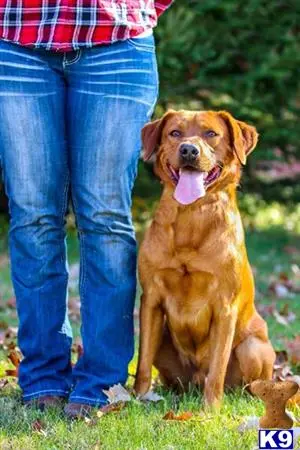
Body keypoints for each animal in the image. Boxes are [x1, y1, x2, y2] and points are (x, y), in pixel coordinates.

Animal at [135, 109, 276, 408]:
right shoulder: (151, 299)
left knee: (246, 382)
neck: (192, 215)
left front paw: (210, 410)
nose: (189, 150)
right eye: (175, 133)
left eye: (211, 133)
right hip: (164, 342)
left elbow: (217, 368)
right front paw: (136, 399)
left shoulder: (225, 306)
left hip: (253, 347)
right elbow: (142, 364)